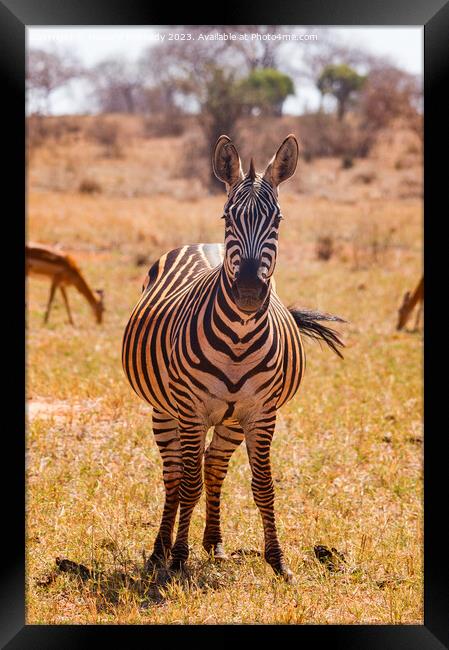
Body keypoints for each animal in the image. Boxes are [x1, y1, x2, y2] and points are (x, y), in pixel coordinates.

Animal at [120, 134, 344, 580]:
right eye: (228, 217)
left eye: (277, 220)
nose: (248, 293)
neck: (238, 339)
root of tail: (201, 245)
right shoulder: (190, 410)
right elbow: (187, 485)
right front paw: (178, 559)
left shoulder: (261, 412)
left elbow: (263, 486)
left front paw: (278, 561)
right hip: (164, 410)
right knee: (175, 475)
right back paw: (160, 551)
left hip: (230, 419)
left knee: (213, 465)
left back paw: (214, 542)